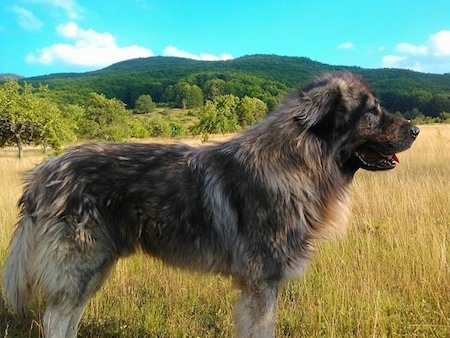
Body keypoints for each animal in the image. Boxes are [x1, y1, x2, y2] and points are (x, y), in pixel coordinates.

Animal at [1, 72, 420, 336]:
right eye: (372, 112)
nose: (416, 129)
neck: (299, 162)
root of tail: (41, 174)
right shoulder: (262, 285)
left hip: (96, 268)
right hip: (81, 267)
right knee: (55, 320)